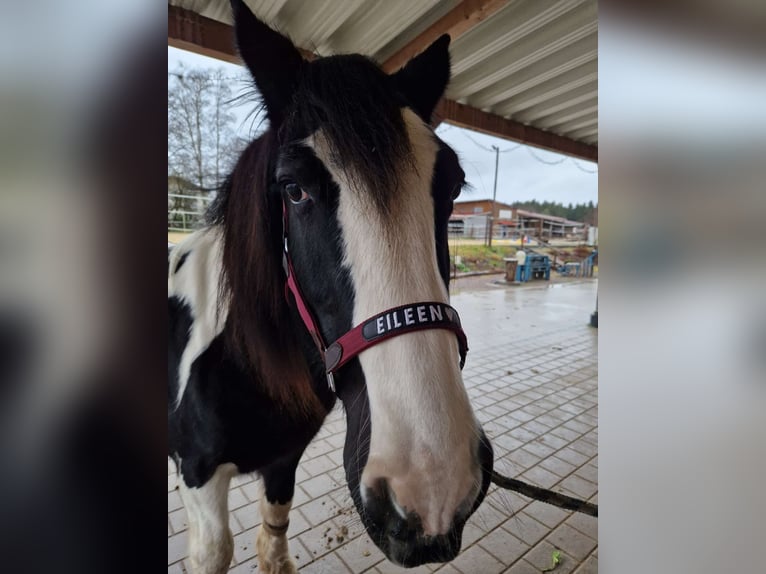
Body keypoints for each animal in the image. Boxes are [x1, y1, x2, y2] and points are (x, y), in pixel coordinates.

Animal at [168, 1, 494, 572]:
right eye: (293, 189)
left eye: (452, 185)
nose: (433, 483)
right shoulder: (199, 483)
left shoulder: (283, 462)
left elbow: (273, 543)